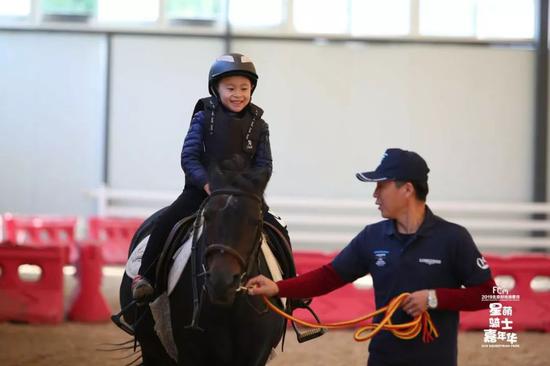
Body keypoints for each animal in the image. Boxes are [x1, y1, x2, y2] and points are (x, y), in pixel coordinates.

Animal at [115, 161, 294, 366]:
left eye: (255, 221)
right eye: (207, 216)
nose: (221, 282)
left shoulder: (256, 356)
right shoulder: (191, 354)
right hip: (153, 351)